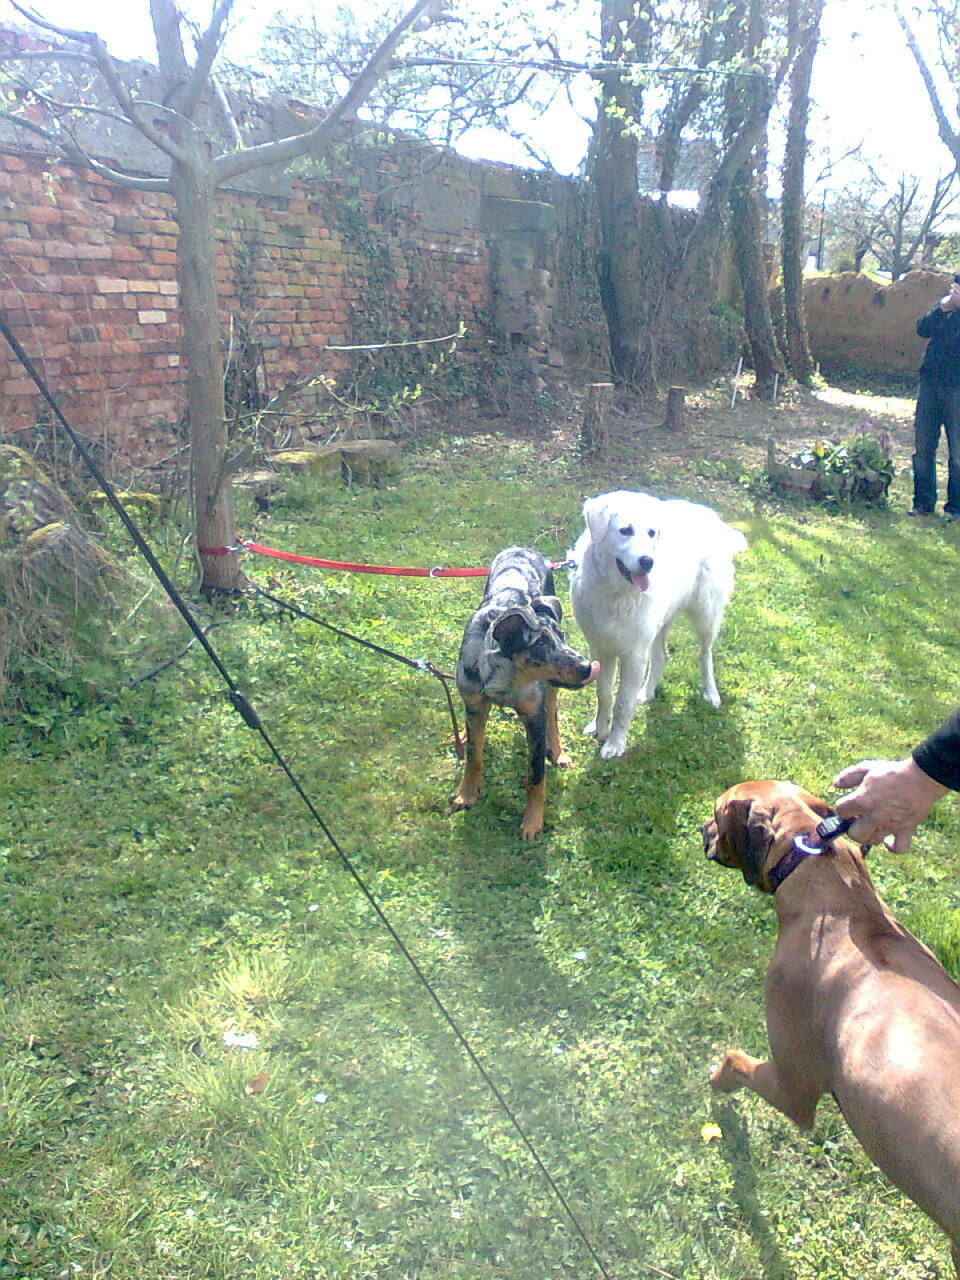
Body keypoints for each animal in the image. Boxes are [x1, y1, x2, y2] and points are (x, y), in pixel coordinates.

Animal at [455, 547, 599, 839]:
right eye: (540, 644)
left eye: (560, 635)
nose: (587, 667)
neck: (503, 677)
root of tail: (523, 547)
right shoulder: (475, 704)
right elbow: (474, 757)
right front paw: (467, 795)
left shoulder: (534, 717)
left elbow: (535, 775)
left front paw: (532, 823)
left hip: (550, 688)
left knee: (553, 713)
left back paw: (558, 753)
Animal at [570, 483, 752, 752]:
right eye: (625, 530)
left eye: (651, 533)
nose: (648, 562)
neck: (616, 593)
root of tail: (711, 516)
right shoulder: (601, 649)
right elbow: (604, 694)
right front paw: (599, 728)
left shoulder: (634, 655)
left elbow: (622, 703)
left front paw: (615, 744)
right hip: (660, 624)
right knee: (662, 656)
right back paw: (647, 692)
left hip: (705, 616)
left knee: (705, 654)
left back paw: (711, 694)